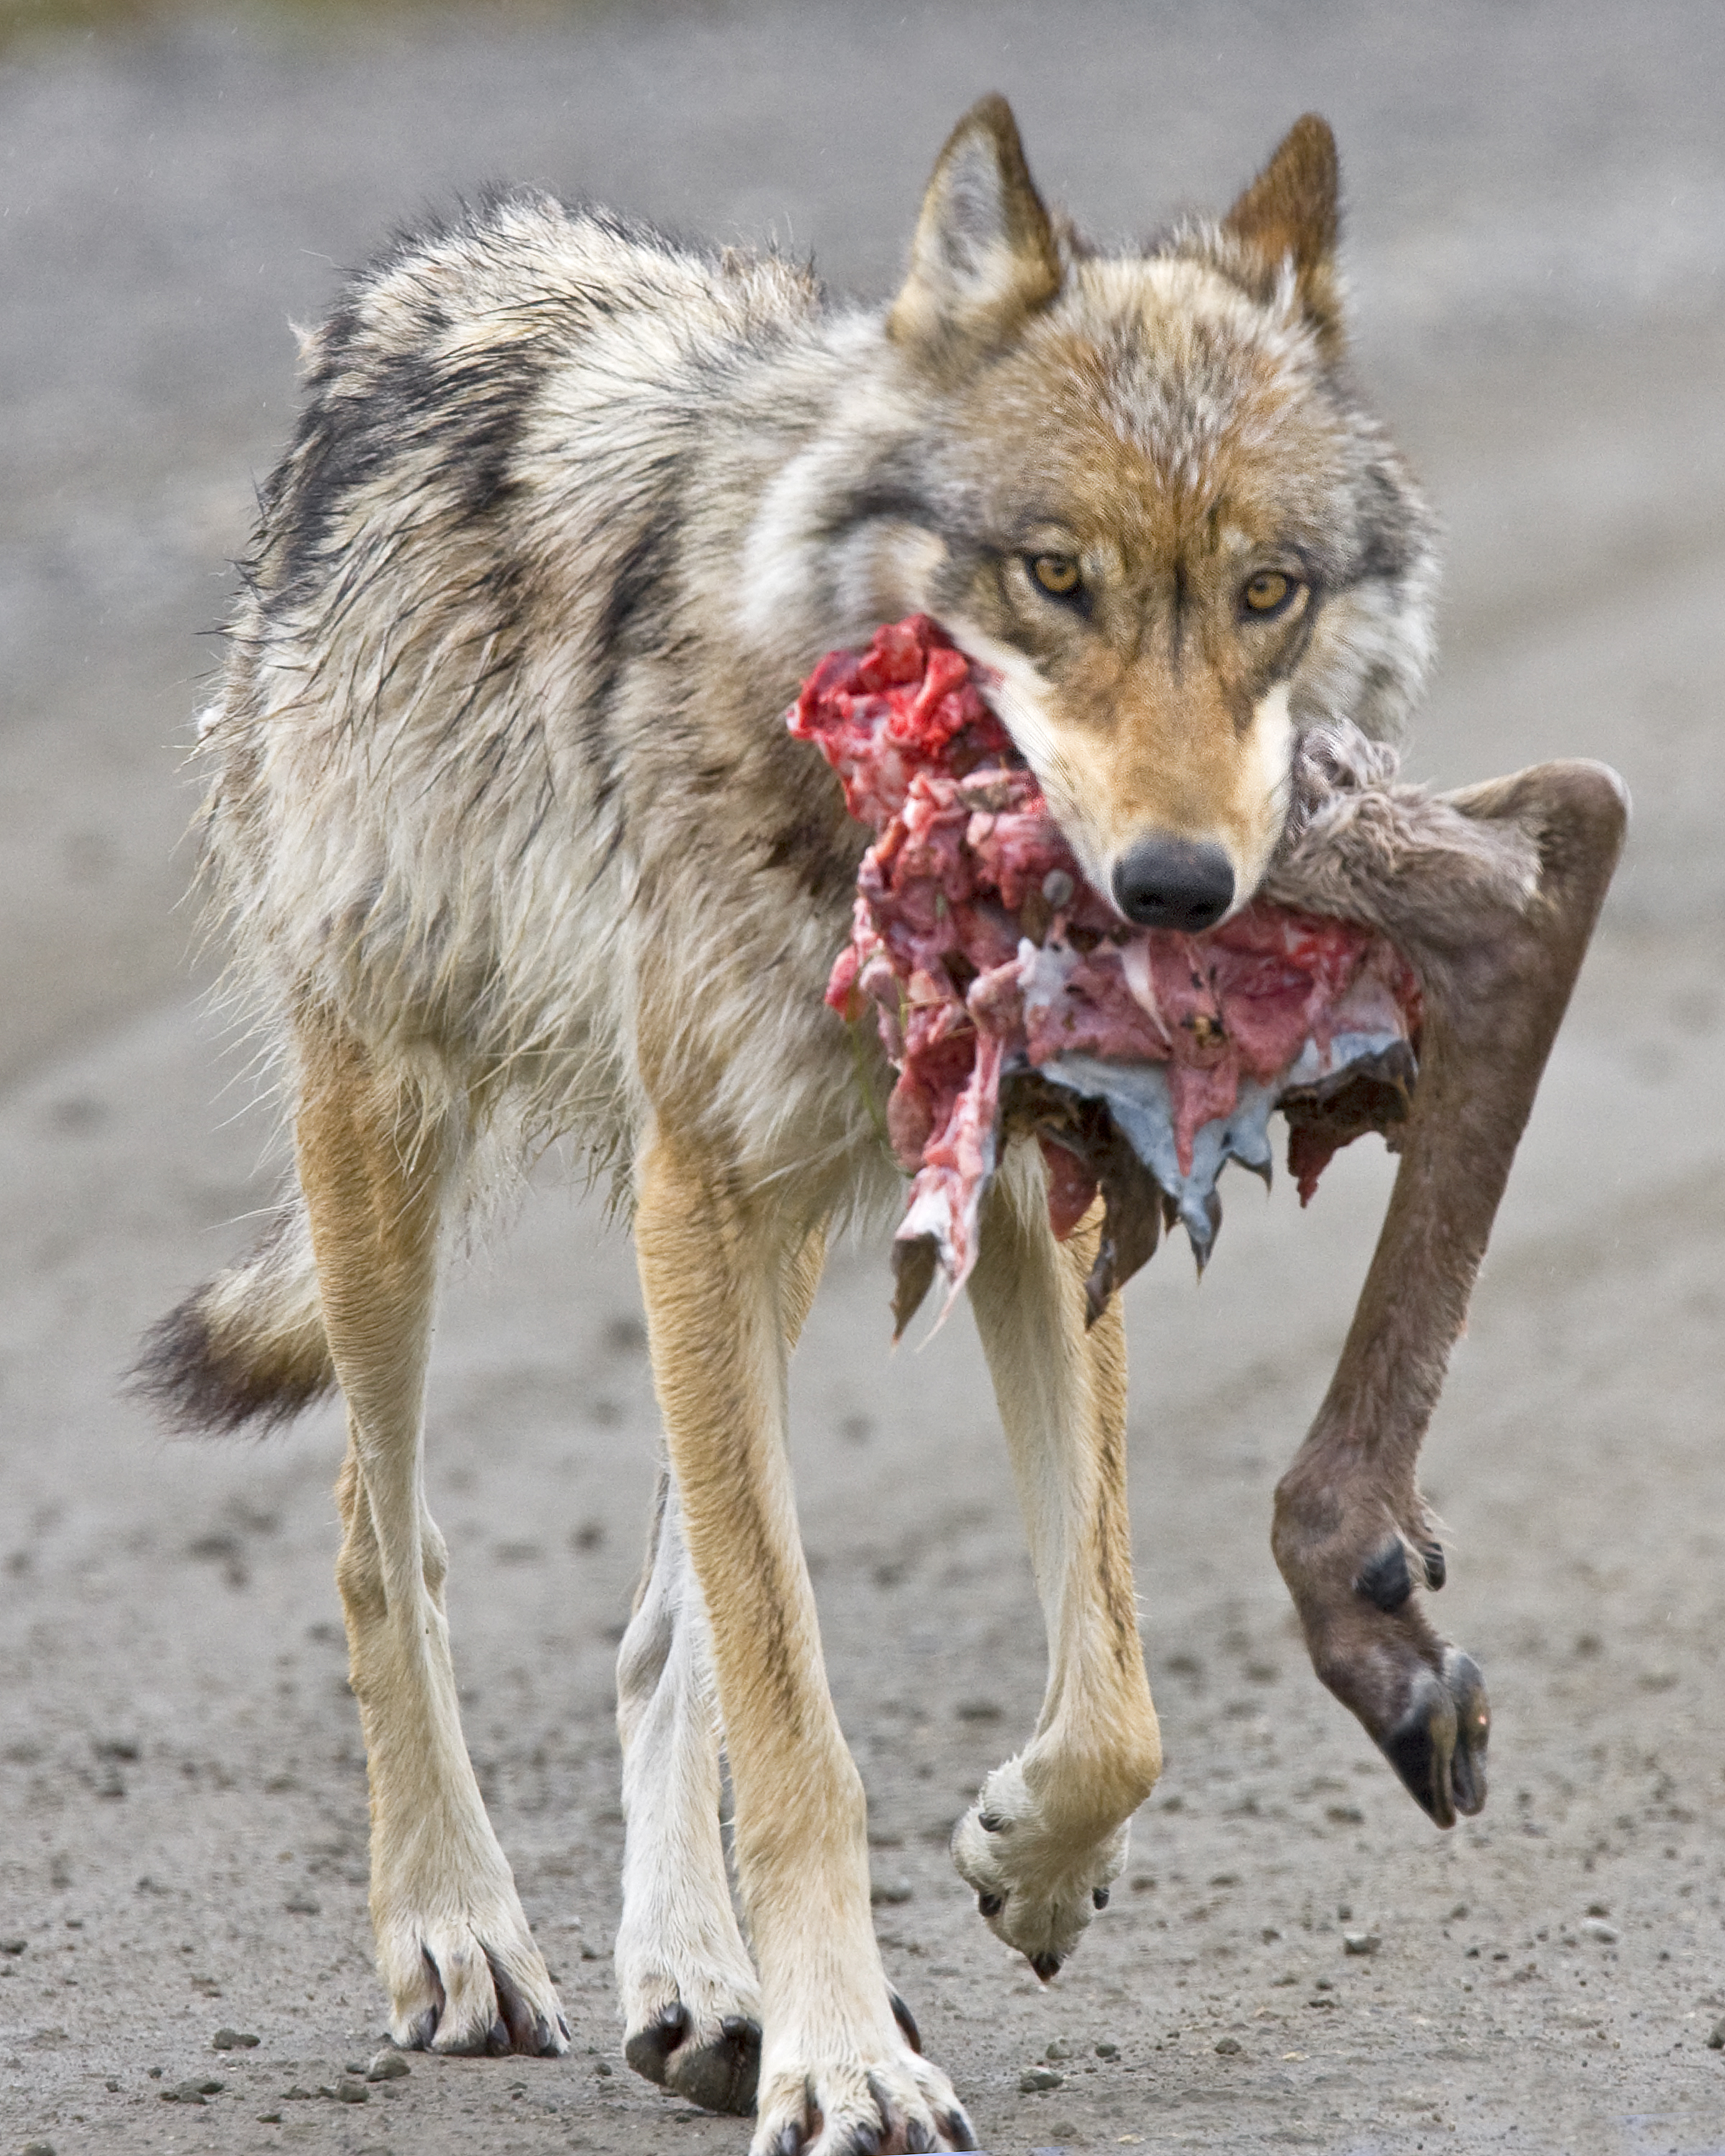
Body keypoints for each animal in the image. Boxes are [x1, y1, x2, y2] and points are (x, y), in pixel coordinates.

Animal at [134, 101, 1622, 2156]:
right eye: (1053, 577)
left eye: (1267, 593)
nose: (1176, 887)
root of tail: (440, 271)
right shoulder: (706, 1194)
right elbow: (797, 1724)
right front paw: (847, 2061)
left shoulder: (1019, 1201)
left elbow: (1108, 1696)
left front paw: (1023, 1870)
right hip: (406, 1154)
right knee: (387, 1542)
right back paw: (454, 1930)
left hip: (741, 1241)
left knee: (654, 1627)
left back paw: (699, 1986)